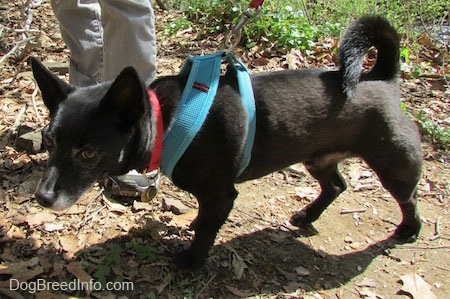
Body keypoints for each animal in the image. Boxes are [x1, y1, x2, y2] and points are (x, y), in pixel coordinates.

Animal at [31, 15, 422, 270]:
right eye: (48, 142)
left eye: (88, 152)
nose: (42, 198)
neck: (166, 121)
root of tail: (381, 77)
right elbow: (203, 219)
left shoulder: (221, 194)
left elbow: (207, 228)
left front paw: (192, 260)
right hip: (318, 158)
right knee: (336, 185)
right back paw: (308, 214)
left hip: (395, 165)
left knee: (408, 199)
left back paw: (408, 231)